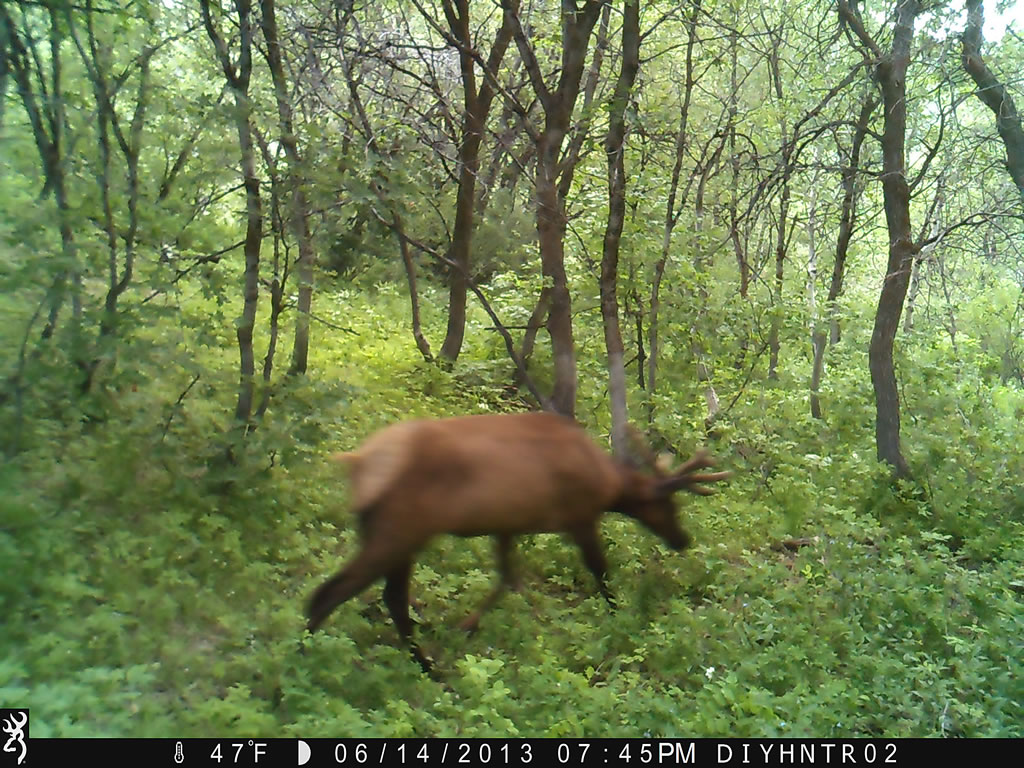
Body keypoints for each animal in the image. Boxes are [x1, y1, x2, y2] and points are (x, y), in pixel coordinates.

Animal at [305, 411, 729, 674]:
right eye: (668, 504)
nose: (682, 539)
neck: (607, 483)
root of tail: (360, 462)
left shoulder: (506, 526)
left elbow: (506, 578)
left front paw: (467, 625)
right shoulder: (580, 515)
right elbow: (601, 573)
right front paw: (621, 618)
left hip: (393, 534)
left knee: (389, 597)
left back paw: (423, 664)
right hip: (400, 530)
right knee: (331, 593)